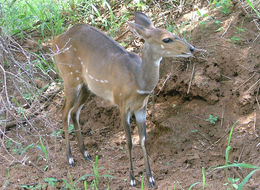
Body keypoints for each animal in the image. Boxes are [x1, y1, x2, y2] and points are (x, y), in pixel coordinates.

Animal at [52, 12, 194, 189]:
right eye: (166, 39)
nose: (191, 48)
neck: (138, 82)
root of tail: (55, 41)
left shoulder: (141, 108)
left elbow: (143, 141)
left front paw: (151, 179)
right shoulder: (122, 106)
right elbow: (129, 142)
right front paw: (132, 179)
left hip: (86, 88)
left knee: (74, 113)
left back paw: (86, 153)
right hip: (70, 80)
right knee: (64, 114)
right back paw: (70, 159)